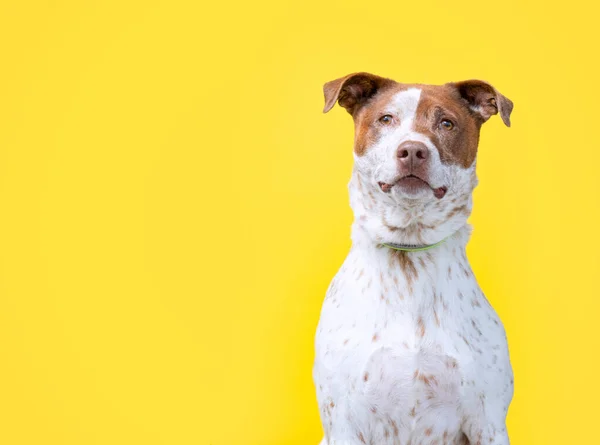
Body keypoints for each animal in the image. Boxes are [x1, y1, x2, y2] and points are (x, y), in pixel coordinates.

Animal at [314, 73, 516, 444]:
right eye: (386, 119)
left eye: (446, 123)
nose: (412, 151)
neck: (410, 253)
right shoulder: (344, 423)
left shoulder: (490, 423)